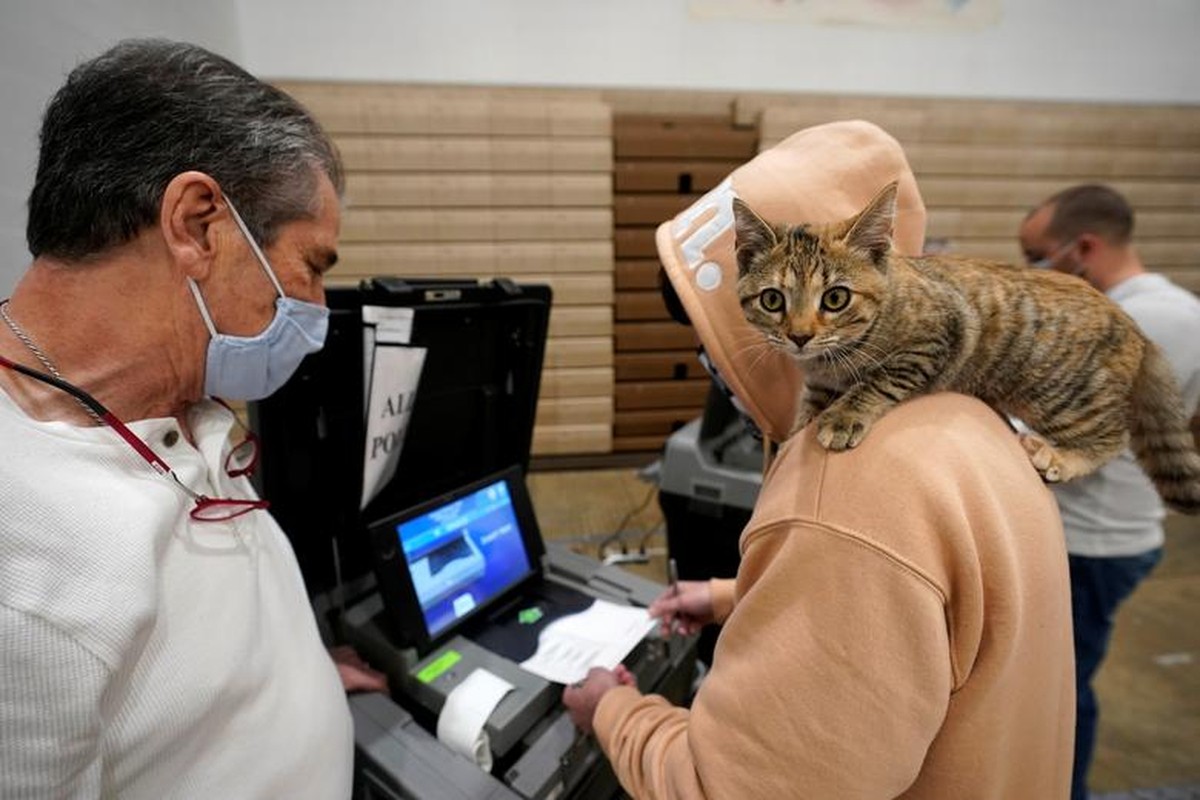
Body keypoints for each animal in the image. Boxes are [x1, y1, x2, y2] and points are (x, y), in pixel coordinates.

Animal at [729, 182, 1200, 515]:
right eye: (772, 300)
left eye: (835, 298)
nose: (799, 336)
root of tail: (1133, 325)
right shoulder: (820, 380)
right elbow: (810, 405)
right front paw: (797, 433)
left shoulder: (937, 337)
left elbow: (879, 379)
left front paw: (845, 415)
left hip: (1064, 397)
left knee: (1113, 437)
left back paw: (1062, 458)